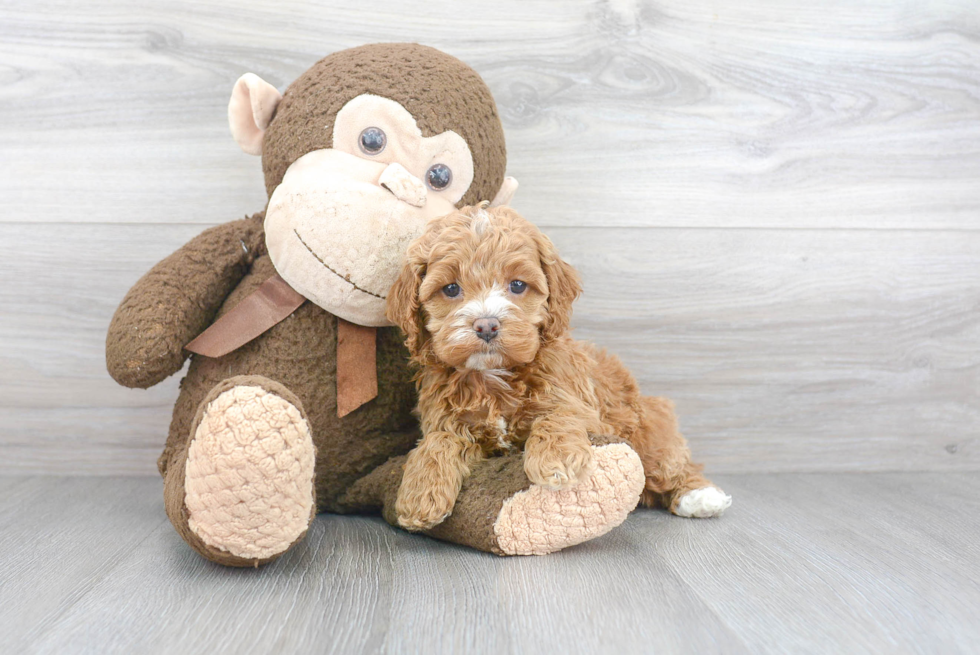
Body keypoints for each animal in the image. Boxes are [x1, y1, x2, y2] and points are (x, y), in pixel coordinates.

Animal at [386, 205, 732, 532]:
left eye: (517, 285)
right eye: (450, 289)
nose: (486, 325)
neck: (494, 375)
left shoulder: (580, 402)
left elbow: (559, 414)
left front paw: (557, 459)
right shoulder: (448, 419)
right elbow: (439, 440)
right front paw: (420, 494)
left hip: (648, 427)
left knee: (669, 464)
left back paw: (699, 496)